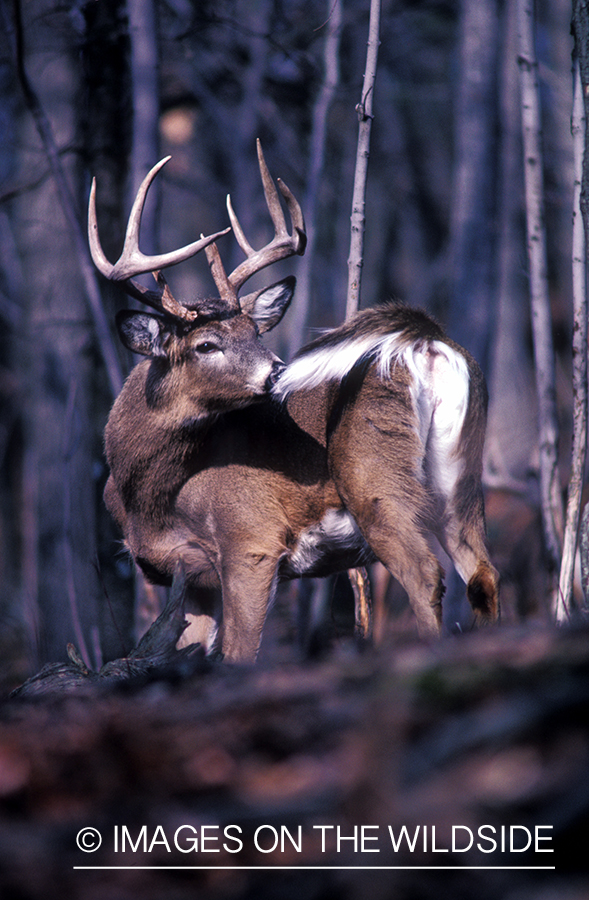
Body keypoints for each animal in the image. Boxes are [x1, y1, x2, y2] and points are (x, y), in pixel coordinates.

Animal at [90, 141, 496, 660]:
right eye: (206, 345)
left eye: (255, 332)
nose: (277, 371)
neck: (149, 496)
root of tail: (424, 341)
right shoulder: (195, 580)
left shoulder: (250, 541)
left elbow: (238, 655)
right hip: (459, 473)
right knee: (483, 575)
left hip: (374, 477)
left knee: (426, 577)